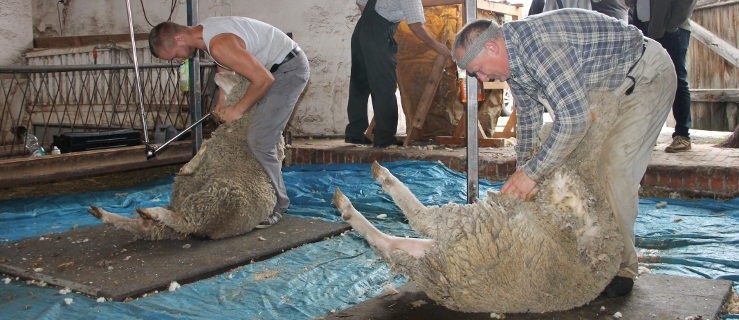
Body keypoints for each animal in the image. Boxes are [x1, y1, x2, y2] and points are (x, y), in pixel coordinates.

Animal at [88, 71, 278, 239]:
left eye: (238, 76)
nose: (218, 74)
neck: (246, 117)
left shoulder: (217, 145)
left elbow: (205, 146)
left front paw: (187, 167)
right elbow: (204, 146)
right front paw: (188, 166)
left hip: (214, 198)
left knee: (184, 222)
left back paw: (151, 212)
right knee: (149, 228)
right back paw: (106, 214)